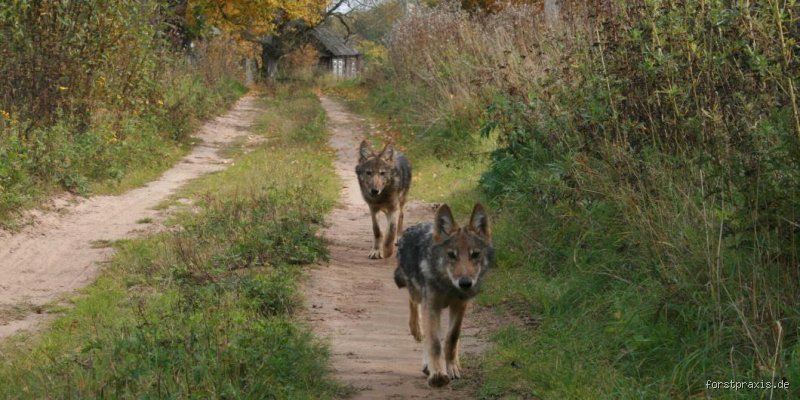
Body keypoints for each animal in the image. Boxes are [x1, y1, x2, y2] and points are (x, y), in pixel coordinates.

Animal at [394, 203, 494, 387]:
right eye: (451, 255)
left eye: (475, 254)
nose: (465, 283)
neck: (448, 286)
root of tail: (417, 226)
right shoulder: (432, 306)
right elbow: (434, 342)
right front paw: (438, 374)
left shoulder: (460, 306)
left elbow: (452, 338)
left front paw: (452, 368)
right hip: (418, 294)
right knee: (415, 308)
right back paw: (416, 330)